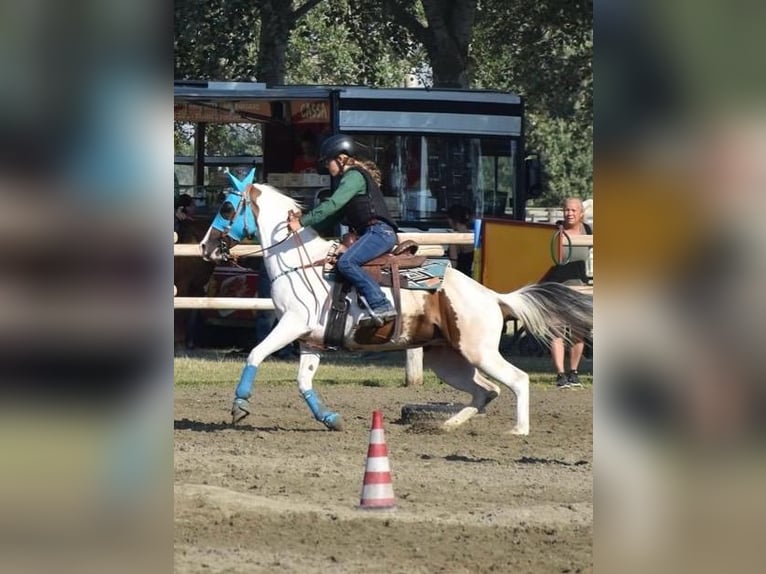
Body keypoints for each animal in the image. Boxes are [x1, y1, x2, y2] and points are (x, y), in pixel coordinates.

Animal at [198, 183, 593, 435]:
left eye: (227, 207)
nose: (205, 246)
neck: (299, 261)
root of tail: (493, 296)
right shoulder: (310, 341)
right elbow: (303, 381)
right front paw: (330, 418)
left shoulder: (293, 325)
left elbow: (255, 353)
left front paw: (239, 406)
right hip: (447, 359)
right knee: (485, 391)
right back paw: (446, 426)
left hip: (478, 351)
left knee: (516, 380)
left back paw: (518, 430)